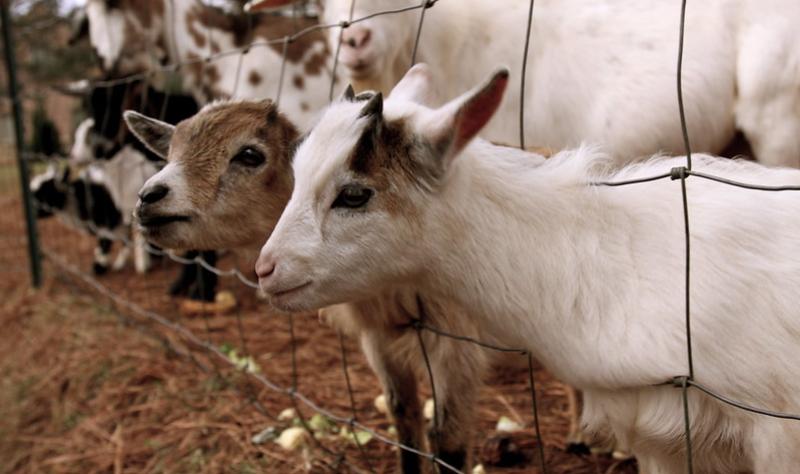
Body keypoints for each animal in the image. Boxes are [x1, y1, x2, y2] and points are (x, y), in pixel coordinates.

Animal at [123, 99, 532, 472]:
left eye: (250, 154)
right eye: (171, 151)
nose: (148, 197)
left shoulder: (458, 347)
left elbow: (448, 444)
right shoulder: (380, 341)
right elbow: (405, 421)